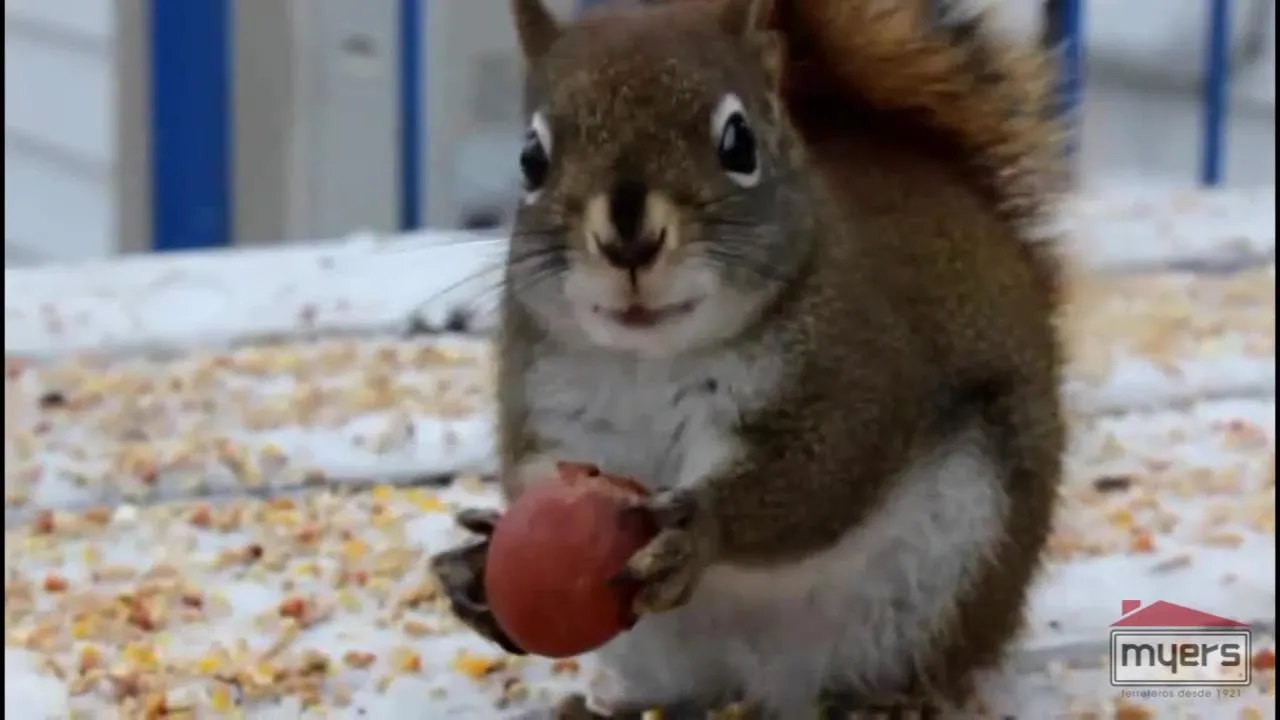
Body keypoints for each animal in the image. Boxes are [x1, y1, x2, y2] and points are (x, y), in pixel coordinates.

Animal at [430, 0, 1066, 716]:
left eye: (739, 144)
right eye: (531, 158)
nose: (629, 240)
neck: (651, 358)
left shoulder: (854, 372)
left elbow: (820, 474)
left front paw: (696, 528)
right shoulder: (549, 402)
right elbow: (532, 470)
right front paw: (477, 564)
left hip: (948, 574)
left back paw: (881, 700)